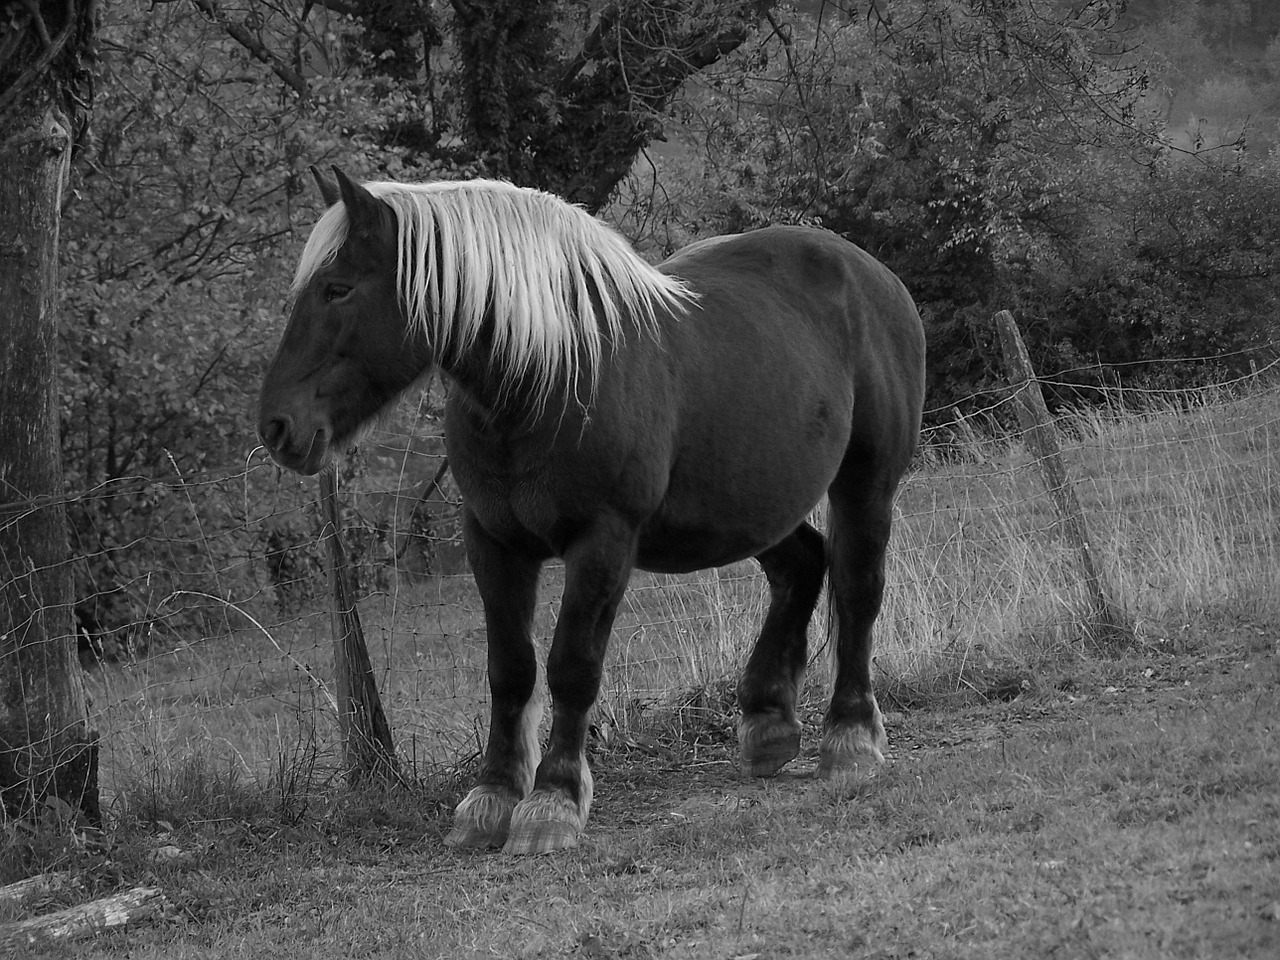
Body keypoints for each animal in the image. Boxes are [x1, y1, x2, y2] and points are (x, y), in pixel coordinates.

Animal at [257, 167, 921, 855]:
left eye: (337, 289)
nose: (277, 427)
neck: (547, 373)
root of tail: (872, 273)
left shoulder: (602, 542)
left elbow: (571, 666)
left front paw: (552, 801)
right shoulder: (493, 542)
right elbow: (509, 669)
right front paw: (492, 798)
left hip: (864, 485)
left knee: (856, 589)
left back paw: (849, 739)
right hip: (747, 508)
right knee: (802, 567)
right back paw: (768, 725)